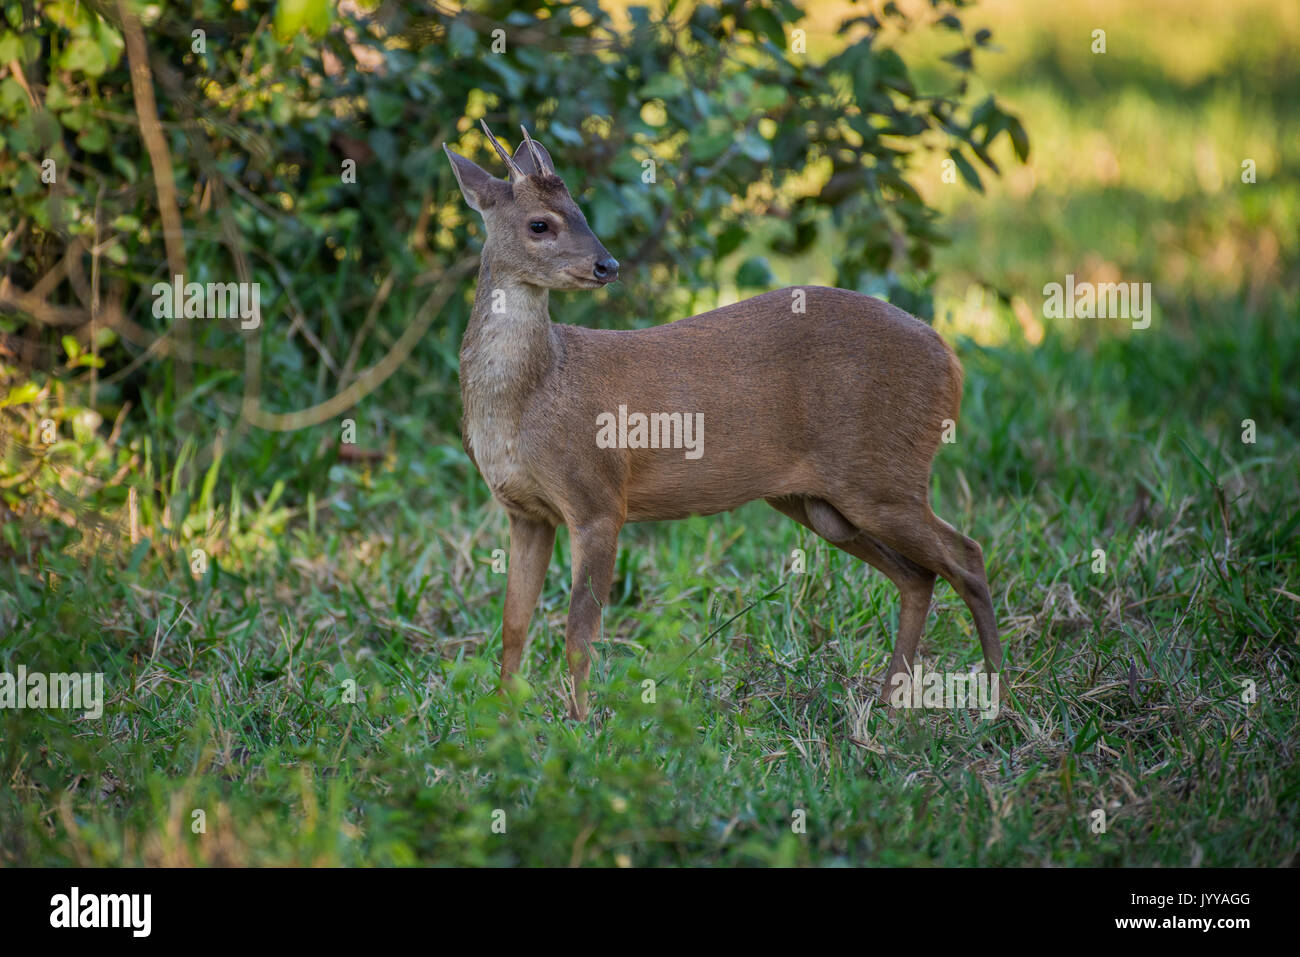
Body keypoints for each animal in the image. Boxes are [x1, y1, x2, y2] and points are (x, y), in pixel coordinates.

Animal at [441, 119, 998, 717]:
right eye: (540, 223)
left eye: (582, 211)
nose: (606, 265)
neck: (532, 395)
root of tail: (951, 359)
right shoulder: (526, 511)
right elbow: (513, 627)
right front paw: (502, 718)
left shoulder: (598, 499)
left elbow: (578, 635)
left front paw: (581, 724)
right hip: (823, 503)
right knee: (921, 575)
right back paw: (890, 707)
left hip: (882, 475)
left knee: (967, 556)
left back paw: (998, 699)